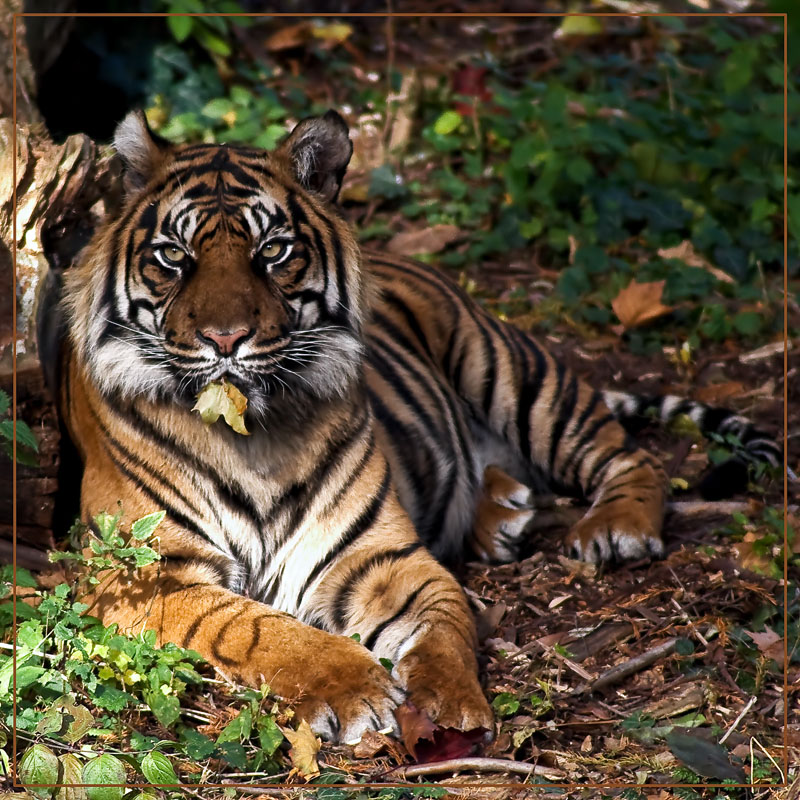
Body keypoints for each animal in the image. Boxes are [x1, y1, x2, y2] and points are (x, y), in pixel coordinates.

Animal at [39, 108, 780, 744]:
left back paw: (614, 527)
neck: (255, 436)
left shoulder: (382, 556)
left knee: (629, 457)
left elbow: (444, 626)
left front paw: (447, 704)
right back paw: (503, 514)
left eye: (274, 252)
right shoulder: (147, 573)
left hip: (513, 377)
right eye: (174, 256)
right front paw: (356, 687)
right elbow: (260, 629)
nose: (227, 339)